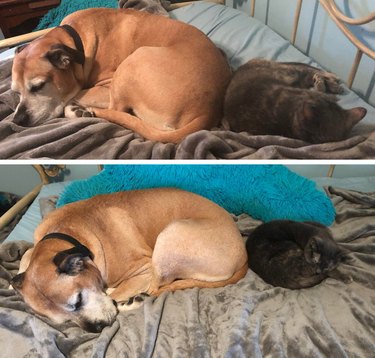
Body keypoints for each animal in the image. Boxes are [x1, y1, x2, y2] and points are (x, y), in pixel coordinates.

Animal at [11, 8, 232, 143]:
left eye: (39, 86)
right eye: (15, 92)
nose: (18, 121)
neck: (74, 40)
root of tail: (209, 109)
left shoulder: (105, 86)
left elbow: (76, 95)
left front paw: (74, 104)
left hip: (131, 64)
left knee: (114, 111)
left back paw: (80, 111)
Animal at [11, 189, 250, 332]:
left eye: (77, 300)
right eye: (64, 321)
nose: (98, 329)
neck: (67, 233)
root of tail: (244, 258)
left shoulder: (143, 268)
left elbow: (117, 295)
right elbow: (26, 255)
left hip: (170, 235)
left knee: (155, 288)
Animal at [223, 58, 368, 143]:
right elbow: (319, 89)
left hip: (291, 74)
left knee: (311, 72)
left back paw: (331, 82)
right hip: (291, 73)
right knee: (310, 71)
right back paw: (330, 82)